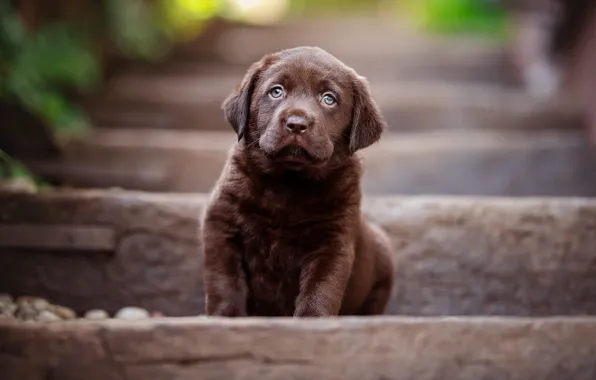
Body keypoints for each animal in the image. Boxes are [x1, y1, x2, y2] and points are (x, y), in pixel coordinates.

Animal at [203, 46, 394, 316]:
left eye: (329, 98)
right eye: (276, 91)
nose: (296, 124)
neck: (288, 182)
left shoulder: (332, 241)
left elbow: (321, 289)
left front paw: (312, 319)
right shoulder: (221, 225)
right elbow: (225, 282)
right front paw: (226, 318)